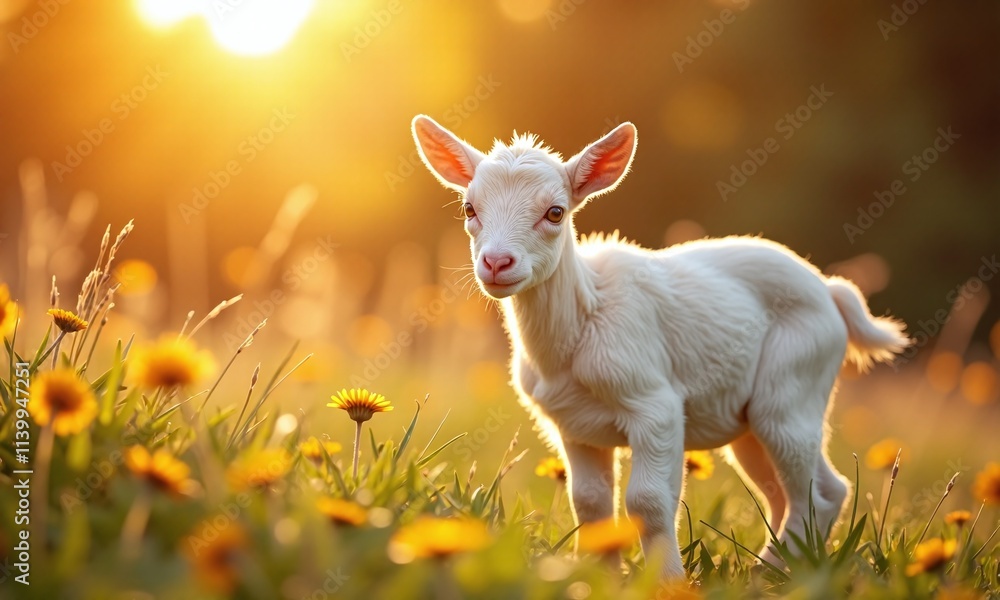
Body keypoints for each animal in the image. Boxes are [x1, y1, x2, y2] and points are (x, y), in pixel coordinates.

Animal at [411, 115, 910, 578]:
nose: (497, 262)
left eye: (555, 212)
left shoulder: (655, 405)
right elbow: (589, 503)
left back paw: (772, 574)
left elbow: (648, 502)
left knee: (819, 491)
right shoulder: (574, 425)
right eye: (469, 208)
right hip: (751, 418)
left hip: (794, 386)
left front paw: (667, 581)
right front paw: (599, 578)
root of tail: (830, 291)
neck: (580, 325)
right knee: (789, 492)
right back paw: (770, 569)